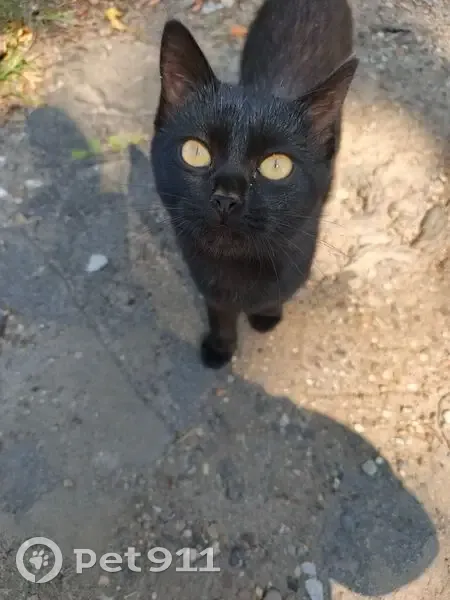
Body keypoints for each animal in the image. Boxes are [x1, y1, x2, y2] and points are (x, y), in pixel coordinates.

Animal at [151, 0, 358, 369]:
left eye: (276, 166)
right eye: (195, 152)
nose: (226, 197)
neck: (237, 270)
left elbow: (273, 295)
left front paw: (265, 316)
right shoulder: (205, 279)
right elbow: (219, 310)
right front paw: (221, 347)